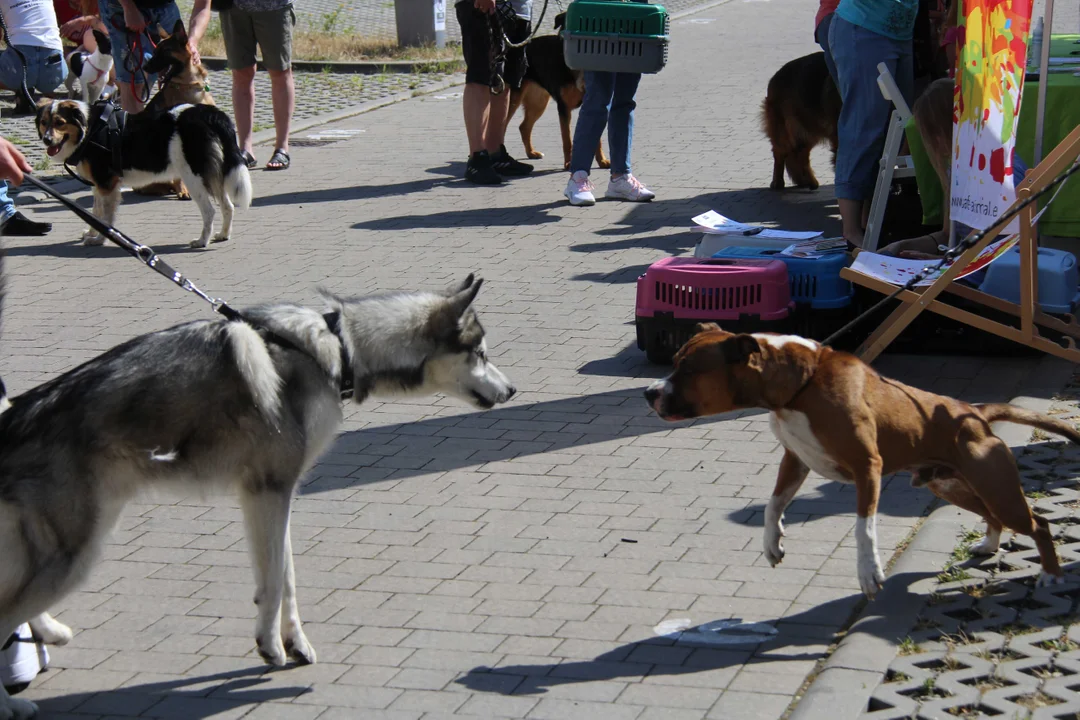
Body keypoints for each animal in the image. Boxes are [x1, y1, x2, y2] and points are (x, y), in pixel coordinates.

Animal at [0, 272, 518, 720]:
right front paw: (270, 646)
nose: (513, 390)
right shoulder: (270, 490)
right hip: (76, 554)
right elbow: (273, 581)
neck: (338, 350)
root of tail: (13, 415)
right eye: (481, 353)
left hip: (72, 547)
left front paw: (294, 642)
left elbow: (285, 576)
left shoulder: (269, 496)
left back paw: (49, 632)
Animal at [33, 98, 252, 249]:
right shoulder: (98, 185)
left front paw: (100, 239)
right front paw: (91, 233)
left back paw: (201, 241)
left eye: (60, 122)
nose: (46, 140)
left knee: (209, 211)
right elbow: (95, 213)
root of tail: (208, 113)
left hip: (194, 177)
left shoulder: (107, 184)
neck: (89, 129)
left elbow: (106, 218)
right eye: (44, 122)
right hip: (213, 177)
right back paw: (223, 235)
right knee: (228, 206)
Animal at [505, 11, 609, 169]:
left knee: (524, 127)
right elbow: (567, 139)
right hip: (513, 99)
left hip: (538, 102)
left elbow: (597, 138)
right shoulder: (564, 107)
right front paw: (569, 163)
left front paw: (602, 160)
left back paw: (531, 153)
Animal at [643, 325, 1075, 595]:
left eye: (688, 369)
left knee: (1038, 524)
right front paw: (772, 542)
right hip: (952, 485)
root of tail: (975, 413)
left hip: (996, 488)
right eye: (675, 362)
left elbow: (863, 528)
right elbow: (772, 506)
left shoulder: (868, 468)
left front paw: (869, 571)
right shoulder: (795, 461)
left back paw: (1051, 575)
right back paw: (989, 544)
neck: (800, 388)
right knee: (992, 515)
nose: (649, 393)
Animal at [764, 52, 838, 191]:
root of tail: (776, 75)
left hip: (808, 131)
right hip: (785, 131)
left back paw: (807, 181)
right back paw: (778, 181)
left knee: (800, 155)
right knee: (779, 152)